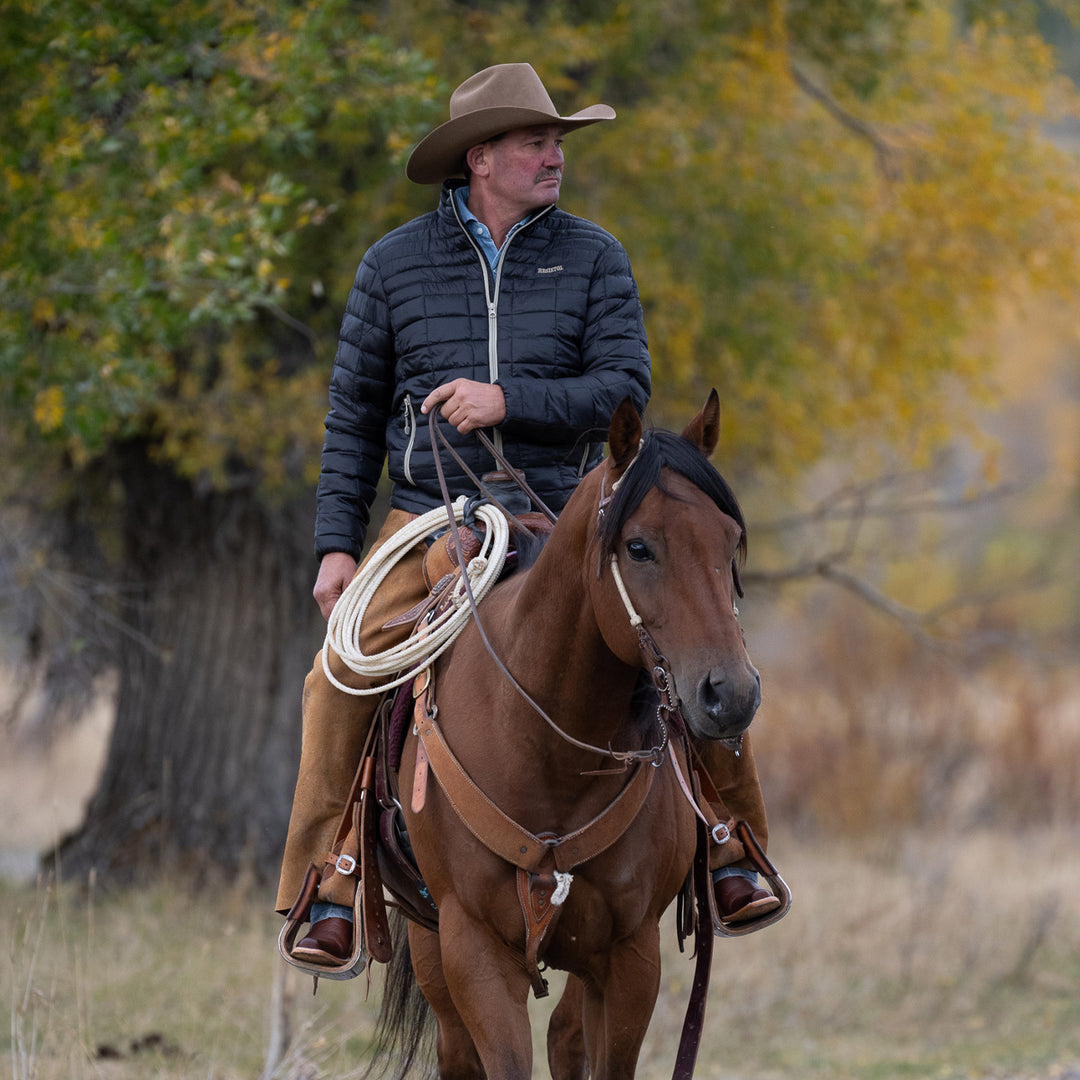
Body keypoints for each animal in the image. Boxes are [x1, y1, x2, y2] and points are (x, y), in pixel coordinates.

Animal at [380, 390, 760, 1080]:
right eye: (638, 547)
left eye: (730, 539)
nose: (732, 694)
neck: (546, 752)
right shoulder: (472, 947)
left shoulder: (631, 953)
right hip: (430, 942)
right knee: (458, 1050)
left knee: (565, 1035)